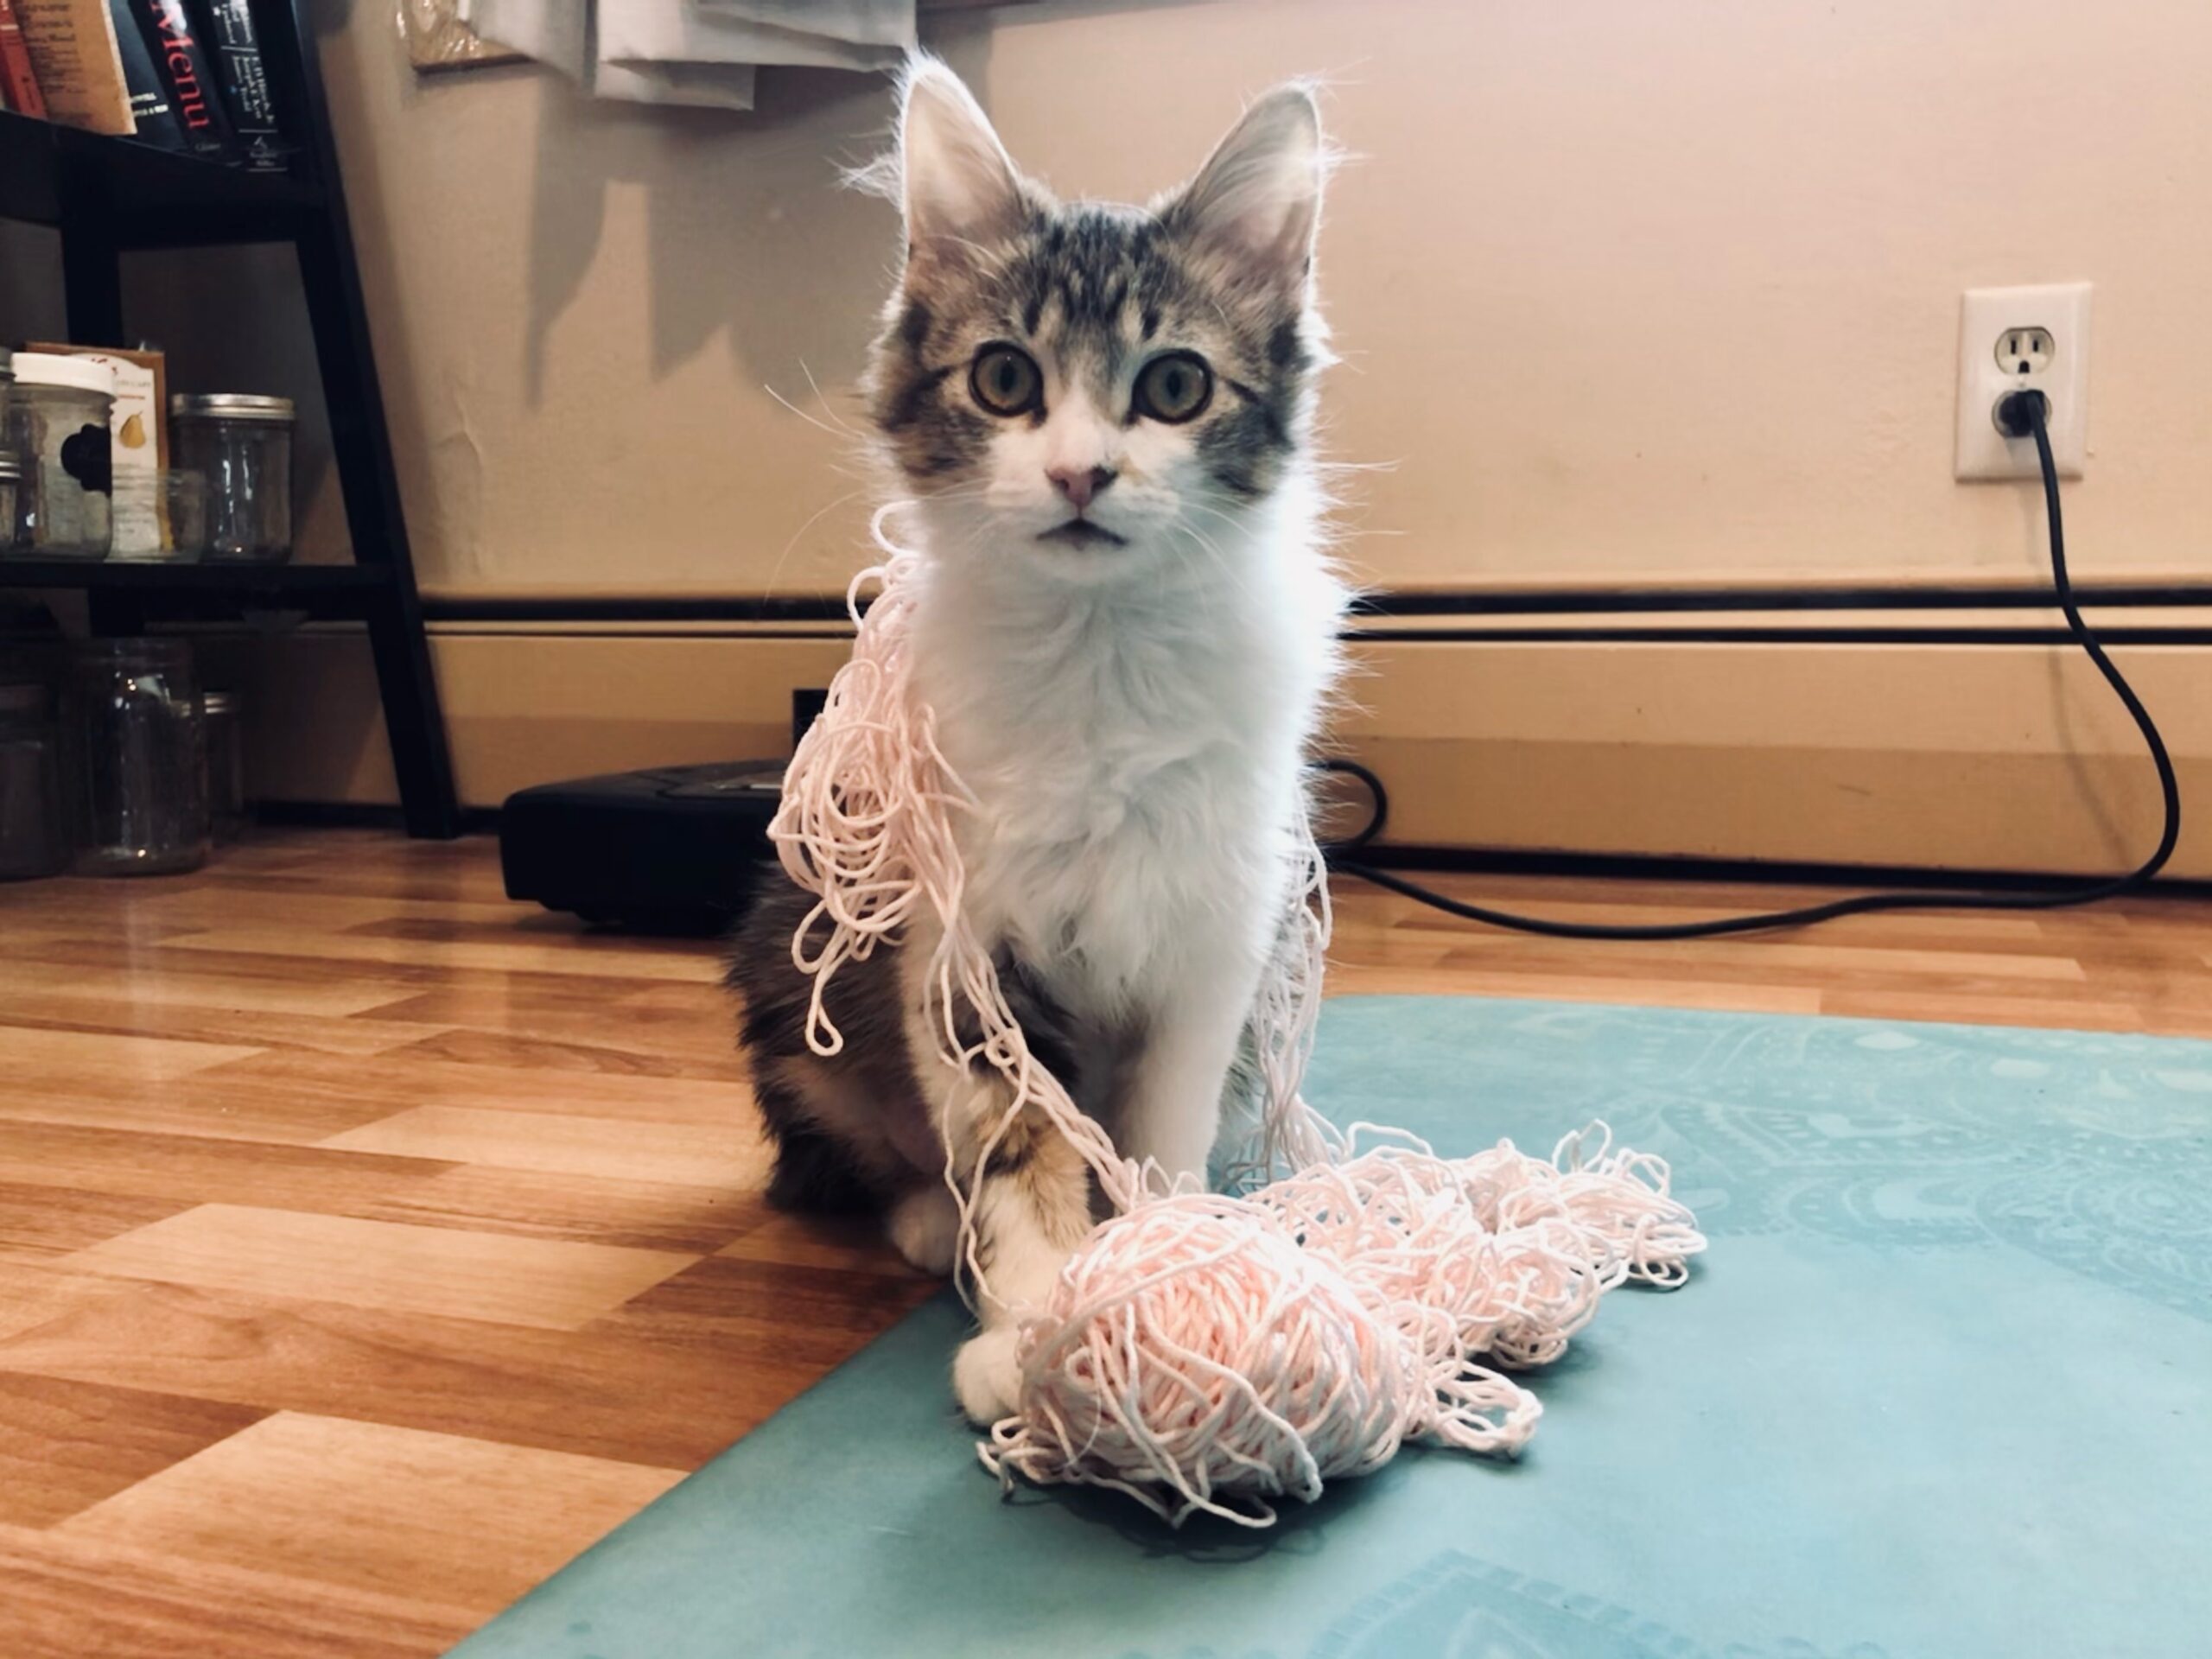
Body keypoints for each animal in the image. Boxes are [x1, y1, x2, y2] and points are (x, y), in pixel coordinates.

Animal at [729, 58, 1344, 1424]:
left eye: (1174, 386)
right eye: (1006, 380)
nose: (1077, 476)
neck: (1096, 650)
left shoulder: (1213, 938)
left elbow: (1157, 1136)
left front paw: (1158, 1266)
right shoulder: (960, 950)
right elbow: (1021, 1144)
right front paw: (1034, 1317)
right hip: (796, 970)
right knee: (857, 1155)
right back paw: (924, 1222)